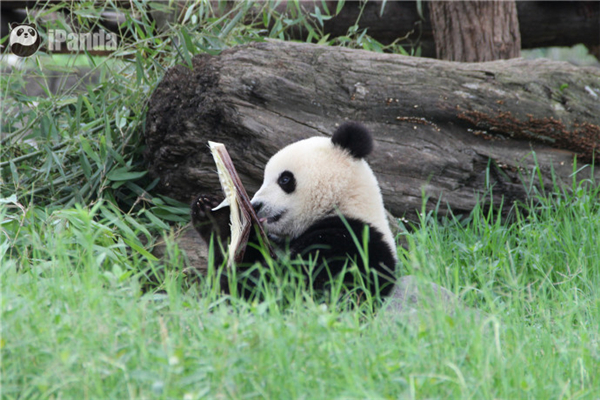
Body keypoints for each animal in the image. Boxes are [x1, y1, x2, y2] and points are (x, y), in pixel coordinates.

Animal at [192, 122, 398, 300]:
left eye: (284, 179)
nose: (256, 205)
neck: (343, 204)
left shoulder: (351, 242)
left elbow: (292, 284)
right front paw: (211, 215)